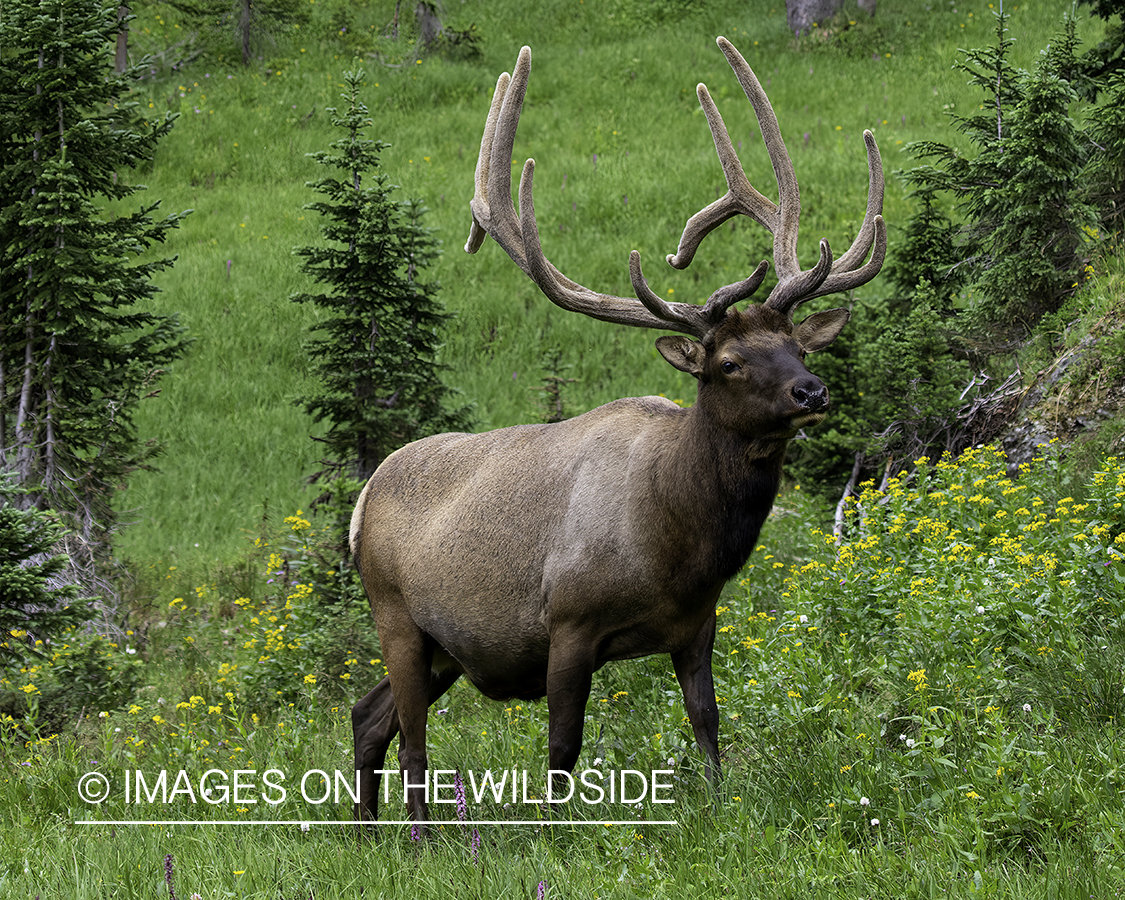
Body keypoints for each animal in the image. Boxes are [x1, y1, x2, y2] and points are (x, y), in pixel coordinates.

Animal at [346, 36, 882, 823]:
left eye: (798, 347)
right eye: (726, 362)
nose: (811, 391)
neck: (679, 542)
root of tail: (359, 505)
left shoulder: (697, 622)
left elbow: (707, 722)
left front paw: (718, 806)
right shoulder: (568, 622)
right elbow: (562, 749)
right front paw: (557, 831)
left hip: (446, 647)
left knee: (367, 716)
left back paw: (366, 831)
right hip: (396, 617)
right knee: (412, 742)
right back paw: (417, 835)